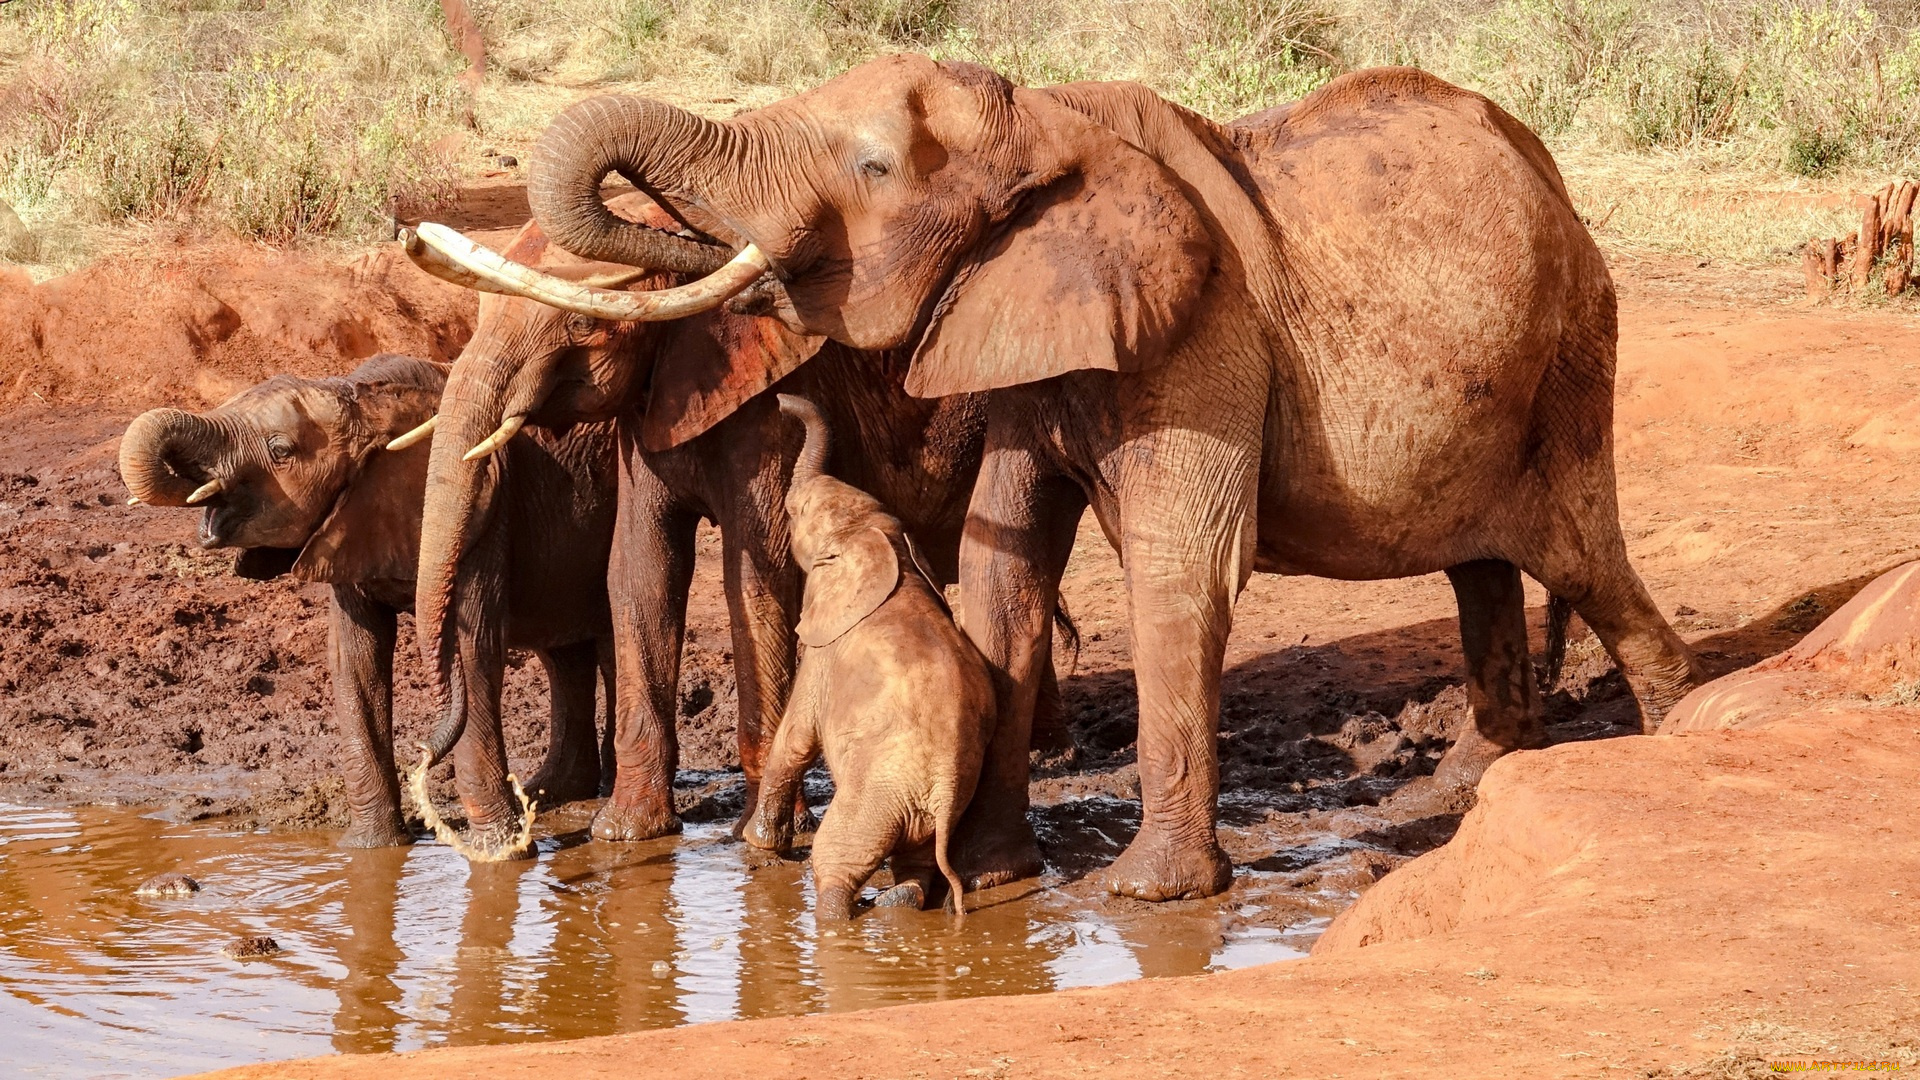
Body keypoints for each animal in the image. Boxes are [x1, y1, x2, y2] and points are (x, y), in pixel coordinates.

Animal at [112, 355, 618, 849]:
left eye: (280, 450)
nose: (424, 753)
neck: (364, 397)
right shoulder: (348, 526)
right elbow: (355, 659)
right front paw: (370, 849)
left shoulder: (487, 519)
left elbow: (476, 651)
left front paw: (501, 853)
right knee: (564, 655)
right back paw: (552, 791)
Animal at [741, 393, 998, 914]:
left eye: (795, 512)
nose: (779, 400)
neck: (875, 537)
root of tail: (944, 791)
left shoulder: (824, 648)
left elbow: (795, 737)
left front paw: (756, 845)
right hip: (916, 805)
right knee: (919, 862)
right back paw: (895, 904)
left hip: (876, 794)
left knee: (837, 858)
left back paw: (839, 911)